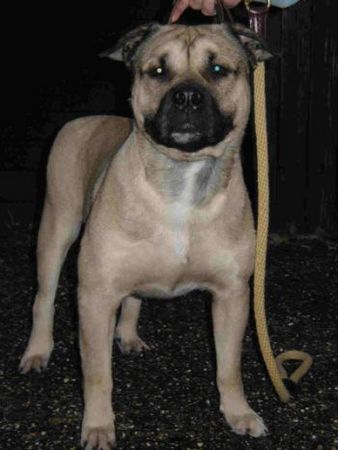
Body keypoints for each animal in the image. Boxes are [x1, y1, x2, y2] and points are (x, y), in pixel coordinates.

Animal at [19, 22, 272, 450]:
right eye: (157, 71)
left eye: (218, 69)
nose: (187, 96)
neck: (181, 177)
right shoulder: (96, 297)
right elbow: (97, 375)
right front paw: (98, 426)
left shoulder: (231, 296)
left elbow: (229, 366)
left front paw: (239, 412)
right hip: (55, 231)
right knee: (44, 299)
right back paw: (38, 351)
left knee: (133, 297)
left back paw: (128, 335)